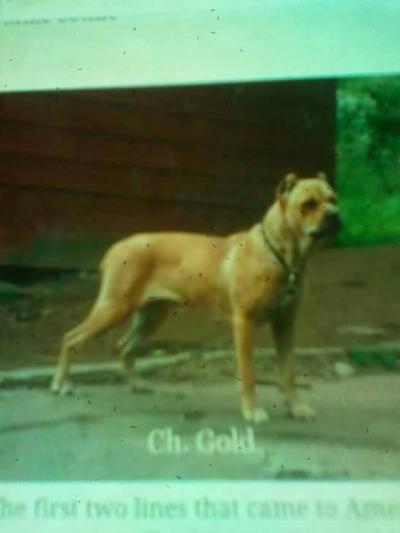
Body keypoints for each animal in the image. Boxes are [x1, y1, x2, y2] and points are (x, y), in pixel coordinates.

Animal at [51, 172, 341, 423]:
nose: (336, 215)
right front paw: (252, 411)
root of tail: (116, 247)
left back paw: (137, 384)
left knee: (124, 346)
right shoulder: (244, 323)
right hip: (115, 307)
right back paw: (61, 383)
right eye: (309, 204)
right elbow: (248, 374)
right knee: (71, 338)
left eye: (333, 199)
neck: (281, 253)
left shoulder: (285, 324)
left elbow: (288, 371)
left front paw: (297, 407)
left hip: (150, 317)